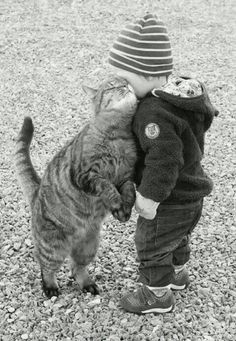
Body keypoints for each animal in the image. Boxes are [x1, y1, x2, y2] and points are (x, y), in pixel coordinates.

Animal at [15, 75, 138, 296]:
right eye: (113, 85)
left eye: (125, 81)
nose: (127, 85)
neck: (118, 135)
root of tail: (37, 193)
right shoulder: (85, 175)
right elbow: (106, 186)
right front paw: (116, 202)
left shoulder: (125, 177)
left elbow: (129, 190)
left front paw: (124, 209)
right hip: (53, 247)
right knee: (46, 266)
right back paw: (50, 286)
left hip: (88, 247)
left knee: (76, 268)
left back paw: (87, 283)